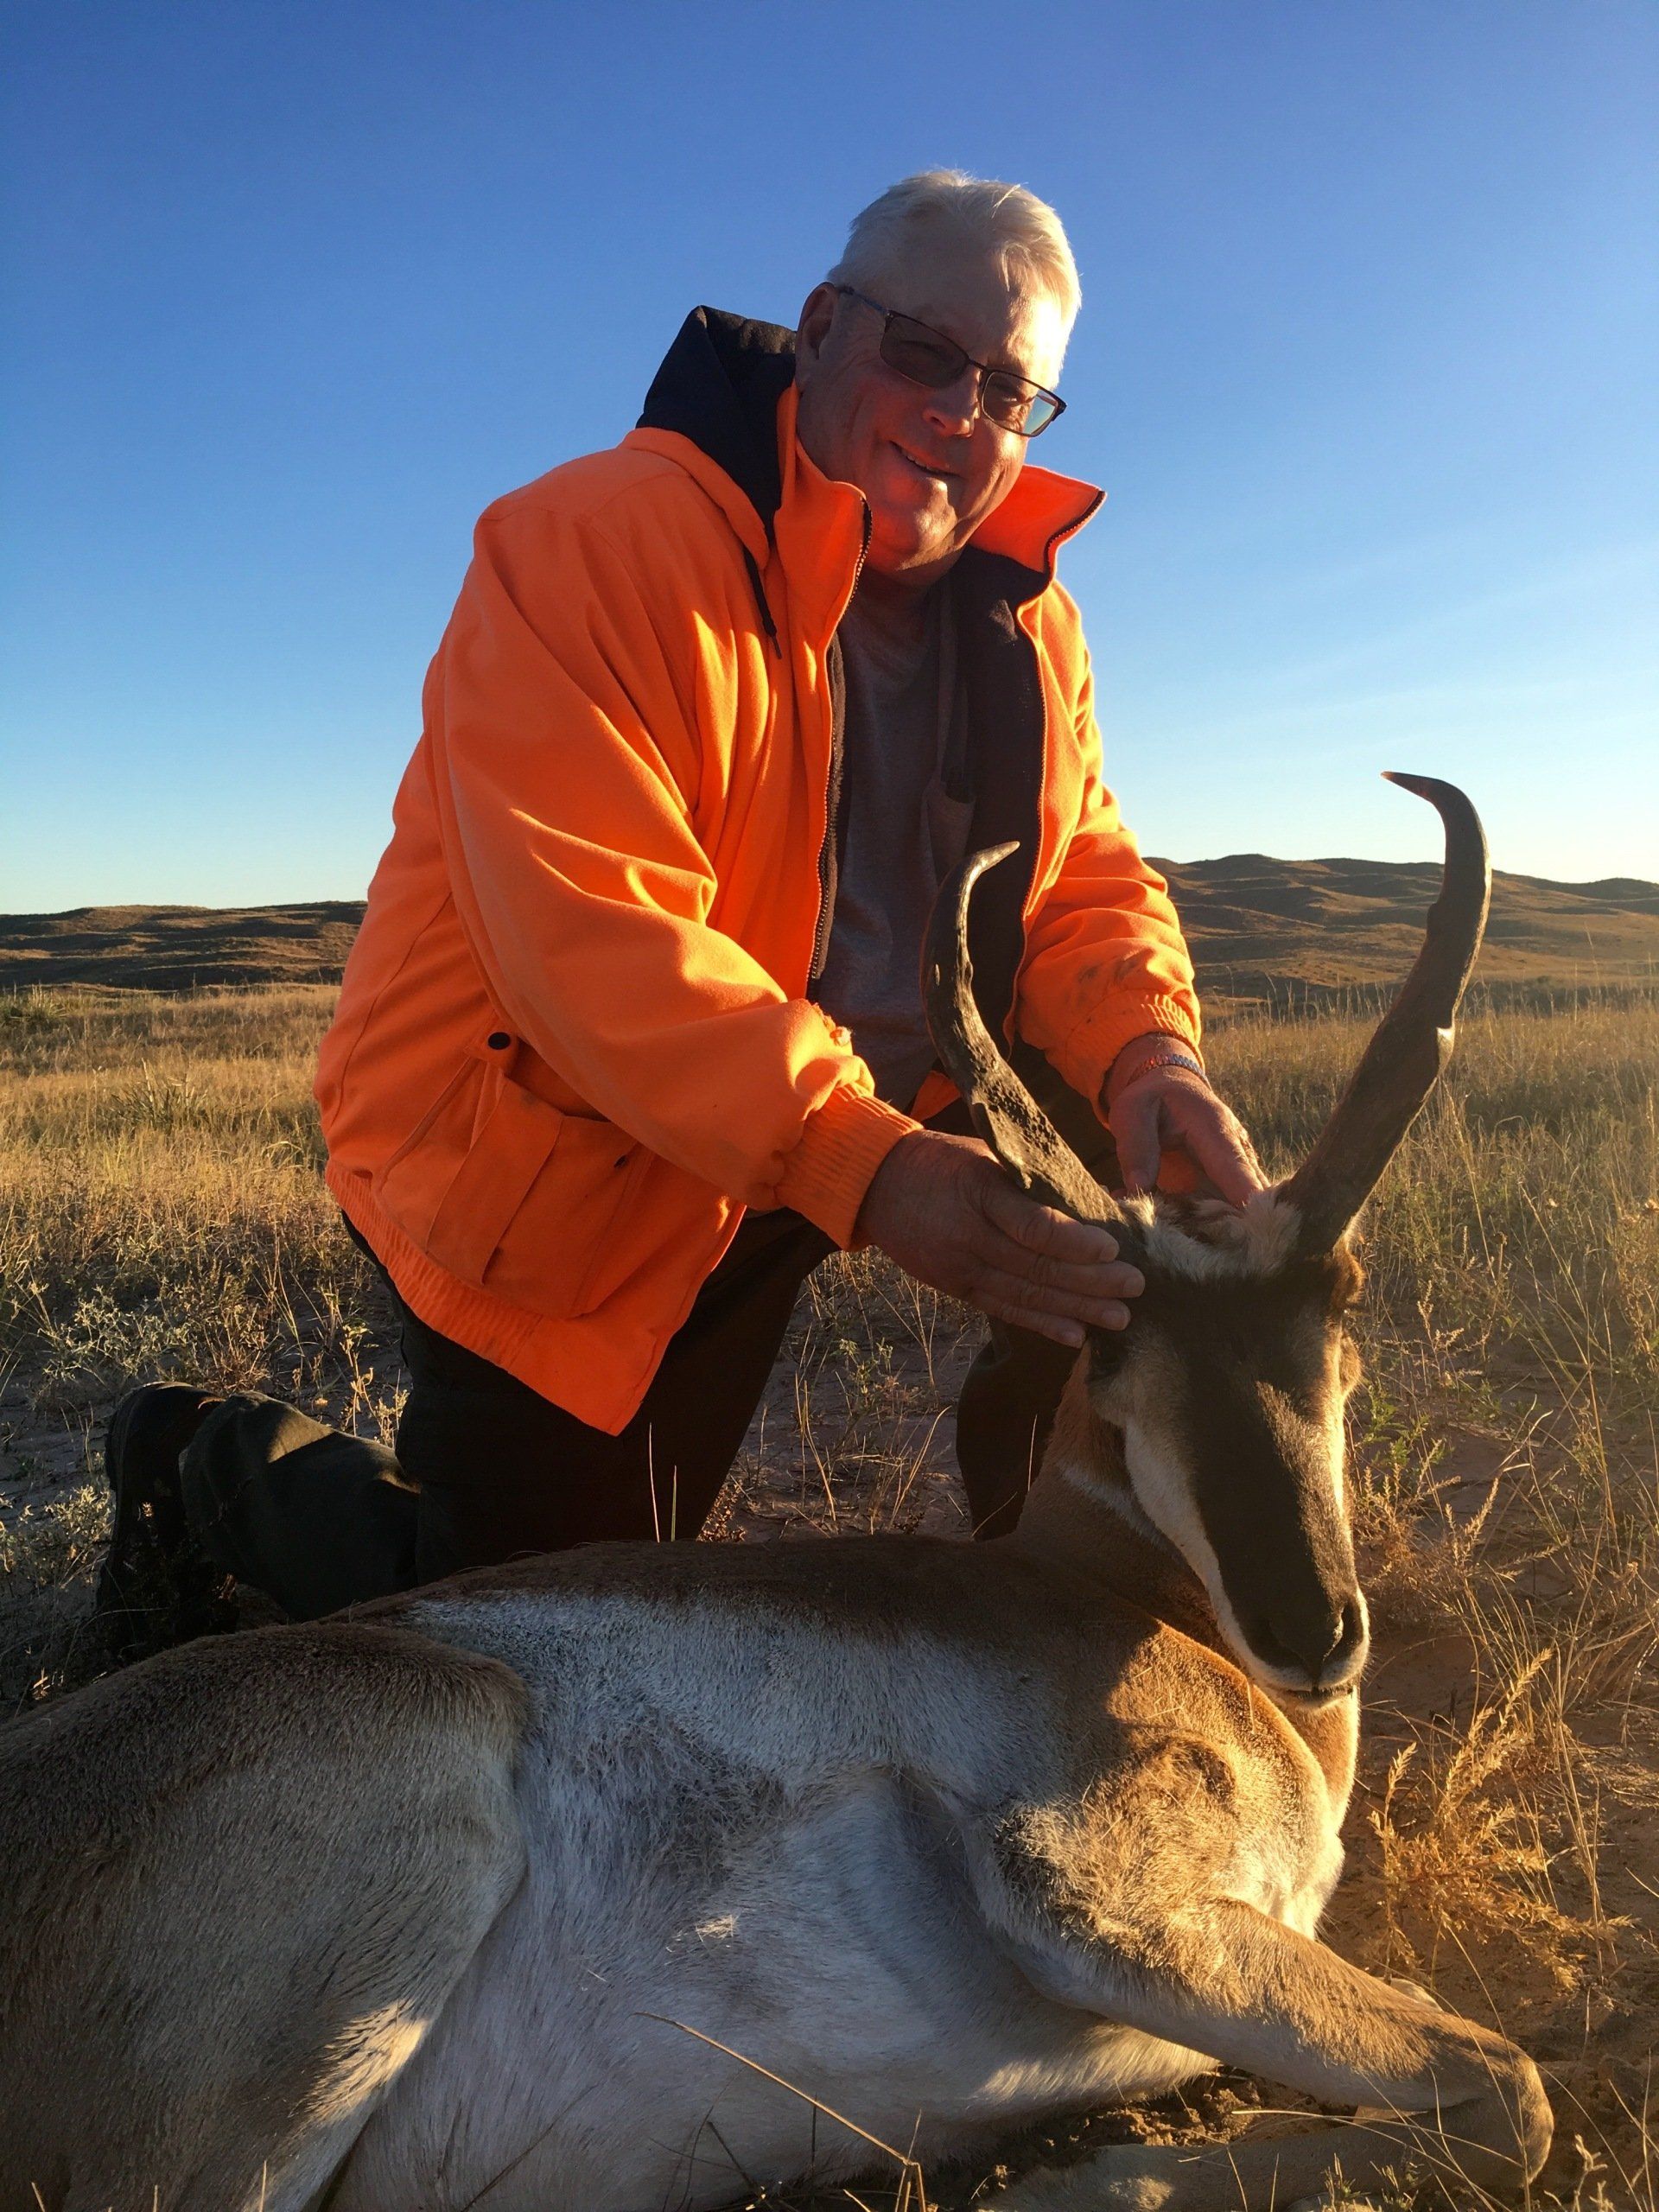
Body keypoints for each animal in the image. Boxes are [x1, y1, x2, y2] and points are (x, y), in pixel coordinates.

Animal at [0, 775, 1550, 2212]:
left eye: (1342, 1292)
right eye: (1106, 1338)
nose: (1311, 1627)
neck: (1115, 1592)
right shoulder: (1088, 1894)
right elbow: (1508, 2087)